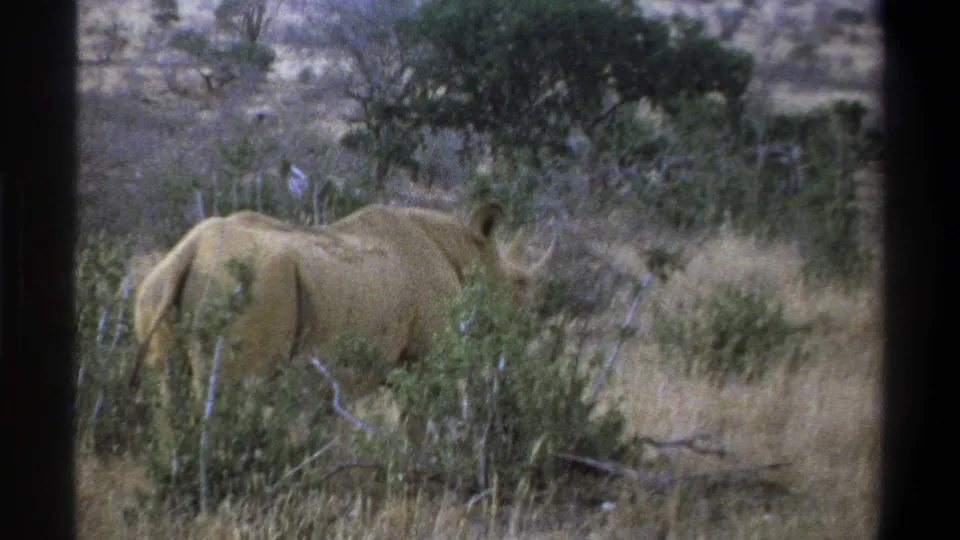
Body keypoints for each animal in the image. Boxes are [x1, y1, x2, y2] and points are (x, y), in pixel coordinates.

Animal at [130, 203, 554, 452]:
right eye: (520, 286)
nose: (523, 334)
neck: (466, 252)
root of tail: (190, 251)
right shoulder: (426, 358)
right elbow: (417, 420)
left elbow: (327, 422)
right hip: (243, 284)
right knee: (227, 392)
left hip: (158, 283)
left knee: (170, 386)